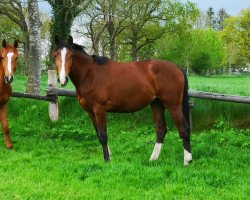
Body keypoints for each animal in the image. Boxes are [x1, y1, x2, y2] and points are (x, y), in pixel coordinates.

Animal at [53, 36, 192, 166]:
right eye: (55, 55)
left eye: (71, 55)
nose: (62, 79)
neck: (89, 74)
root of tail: (176, 67)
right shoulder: (90, 112)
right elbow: (98, 134)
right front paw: (109, 156)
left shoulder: (99, 109)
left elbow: (103, 135)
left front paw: (107, 160)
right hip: (157, 104)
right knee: (161, 130)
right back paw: (153, 159)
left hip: (173, 105)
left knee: (183, 129)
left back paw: (187, 161)